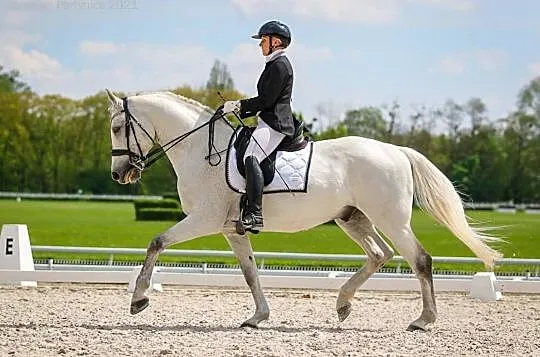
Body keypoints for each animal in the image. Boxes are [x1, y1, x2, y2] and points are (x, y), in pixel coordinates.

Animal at [105, 89, 502, 330]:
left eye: (118, 127)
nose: (119, 174)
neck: (203, 151)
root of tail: (396, 150)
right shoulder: (231, 229)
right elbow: (250, 273)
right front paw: (258, 316)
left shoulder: (204, 219)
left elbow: (157, 241)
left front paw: (139, 299)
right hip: (351, 218)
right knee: (380, 254)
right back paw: (343, 304)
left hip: (391, 219)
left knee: (419, 259)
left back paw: (424, 319)